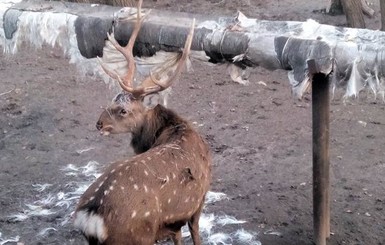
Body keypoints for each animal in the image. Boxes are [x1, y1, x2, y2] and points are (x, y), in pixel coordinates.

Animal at [72, 0, 210, 244]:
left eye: (123, 109)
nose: (99, 124)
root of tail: (91, 216)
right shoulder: (199, 199)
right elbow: (194, 233)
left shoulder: (175, 220)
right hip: (136, 235)